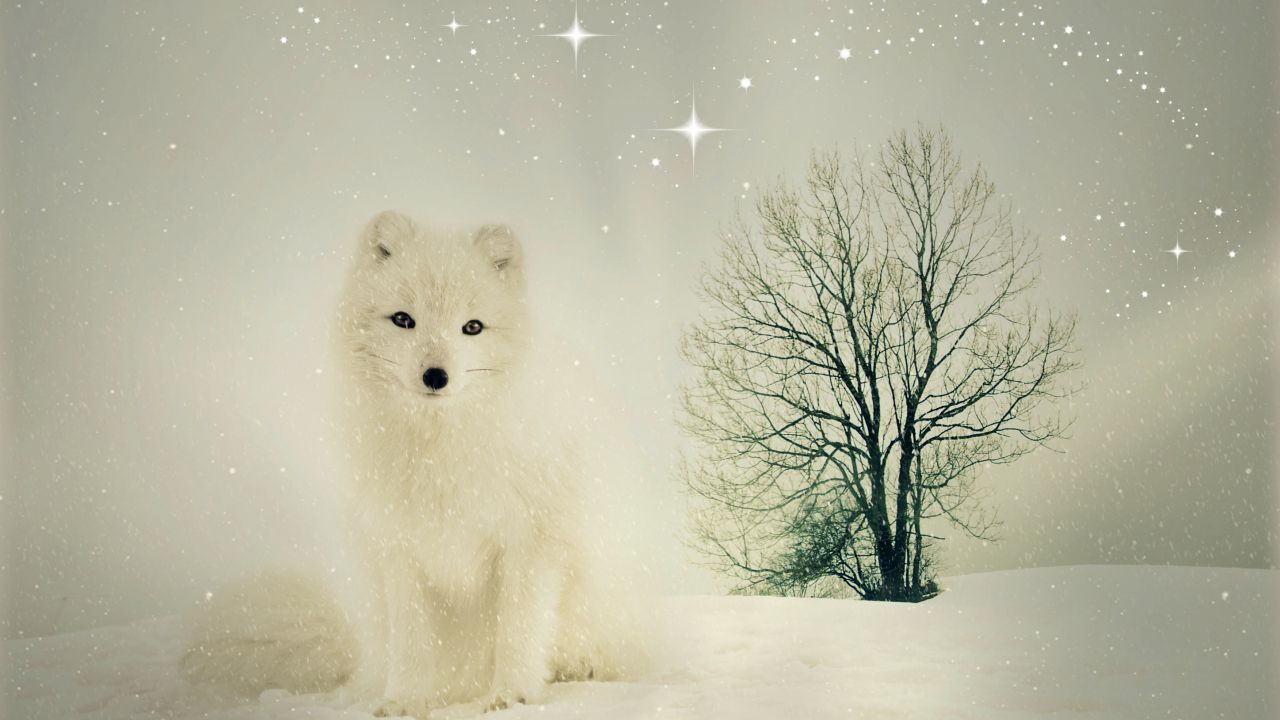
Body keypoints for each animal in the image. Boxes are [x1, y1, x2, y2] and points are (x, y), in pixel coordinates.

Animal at [182, 211, 644, 717]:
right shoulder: (400, 547)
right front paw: (405, 701)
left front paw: (511, 696)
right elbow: (412, 640)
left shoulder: (530, 539)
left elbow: (517, 629)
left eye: (472, 327)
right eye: (404, 320)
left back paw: (576, 668)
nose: (435, 376)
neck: (439, 449)